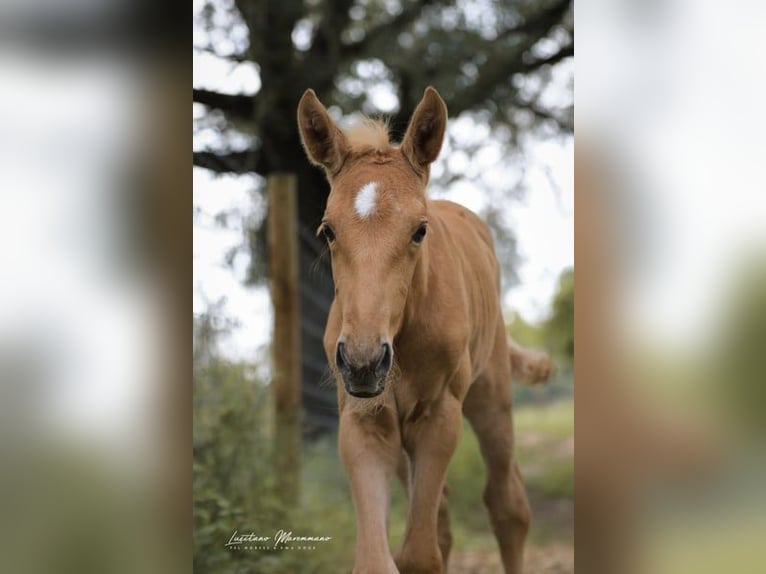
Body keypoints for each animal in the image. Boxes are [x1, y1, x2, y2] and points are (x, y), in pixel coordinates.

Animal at [298, 86, 552, 574]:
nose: (362, 362)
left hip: (491, 394)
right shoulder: (364, 420)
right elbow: (379, 559)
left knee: (508, 505)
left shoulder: (439, 414)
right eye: (327, 231)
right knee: (446, 515)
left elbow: (419, 555)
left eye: (419, 230)